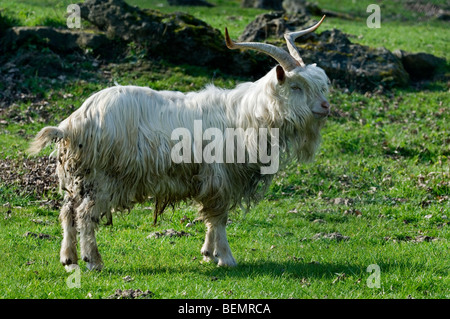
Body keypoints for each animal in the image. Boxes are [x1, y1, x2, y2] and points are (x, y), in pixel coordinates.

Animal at [28, 16, 330, 272]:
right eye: (296, 87)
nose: (326, 106)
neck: (247, 115)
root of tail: (74, 122)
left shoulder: (211, 180)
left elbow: (211, 218)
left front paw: (208, 253)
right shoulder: (220, 176)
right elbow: (219, 218)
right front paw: (226, 258)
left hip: (78, 176)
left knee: (67, 211)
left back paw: (68, 259)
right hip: (103, 177)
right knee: (85, 214)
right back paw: (93, 260)